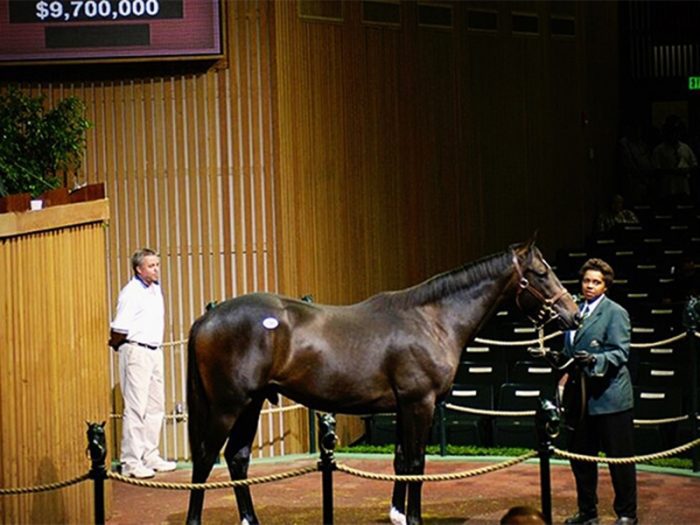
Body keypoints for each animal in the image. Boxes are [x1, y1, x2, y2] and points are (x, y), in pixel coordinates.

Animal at [185, 239, 580, 520]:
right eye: (541, 273)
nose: (574, 314)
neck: (432, 320)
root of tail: (207, 319)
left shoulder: (404, 407)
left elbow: (401, 461)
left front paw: (398, 514)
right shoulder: (419, 404)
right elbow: (417, 464)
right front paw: (414, 517)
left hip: (250, 405)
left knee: (237, 458)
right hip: (227, 407)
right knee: (205, 459)